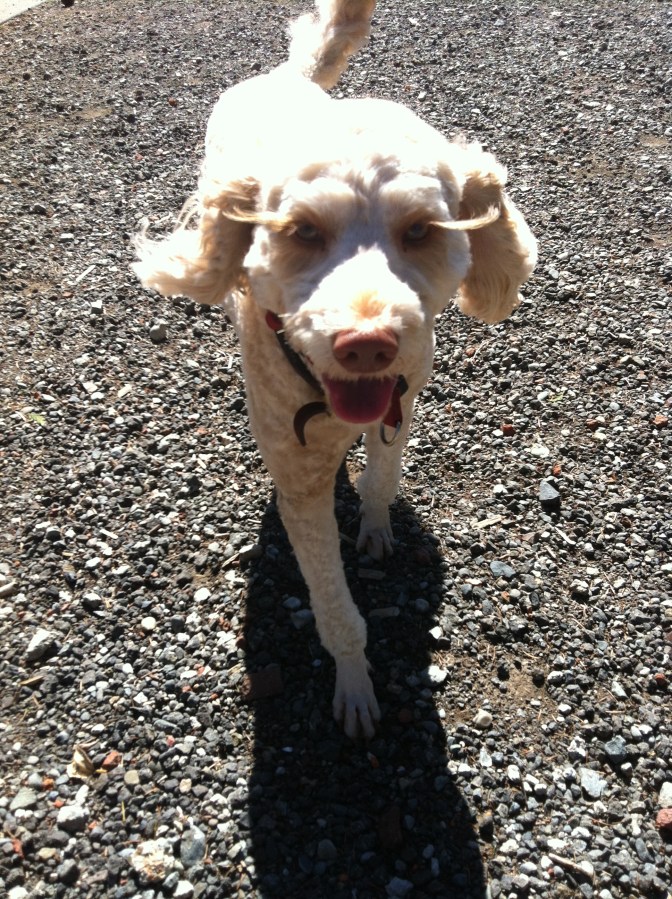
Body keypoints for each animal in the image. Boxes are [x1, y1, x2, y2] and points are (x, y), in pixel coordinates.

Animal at [134, 0, 537, 738]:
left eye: (420, 230)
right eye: (302, 232)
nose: (367, 343)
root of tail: (288, 78)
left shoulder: (404, 399)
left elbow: (381, 476)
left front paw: (375, 525)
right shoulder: (300, 480)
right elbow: (334, 607)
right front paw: (355, 685)